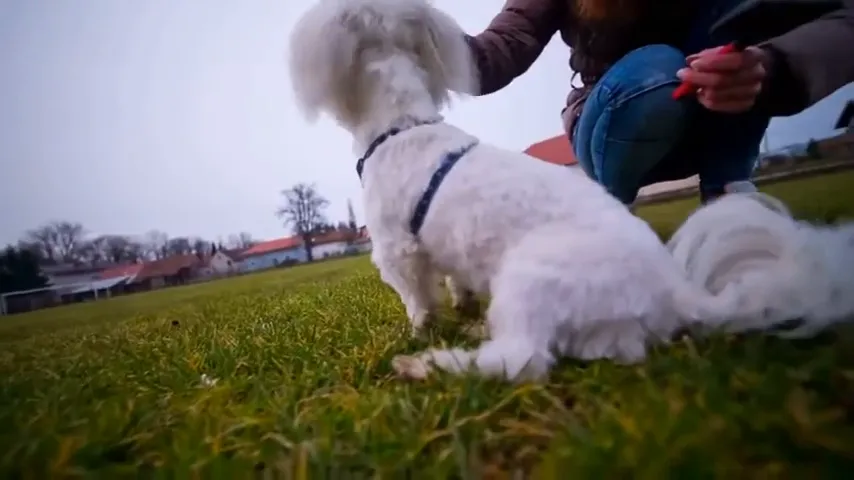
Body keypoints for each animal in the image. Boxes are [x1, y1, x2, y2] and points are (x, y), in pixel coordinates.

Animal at [290, 0, 792, 382]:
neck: (404, 123)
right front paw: (463, 308)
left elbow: (418, 301)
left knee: (523, 360)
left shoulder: (399, 249)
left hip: (528, 278)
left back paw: (431, 363)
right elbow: (456, 283)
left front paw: (421, 332)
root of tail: (675, 295)